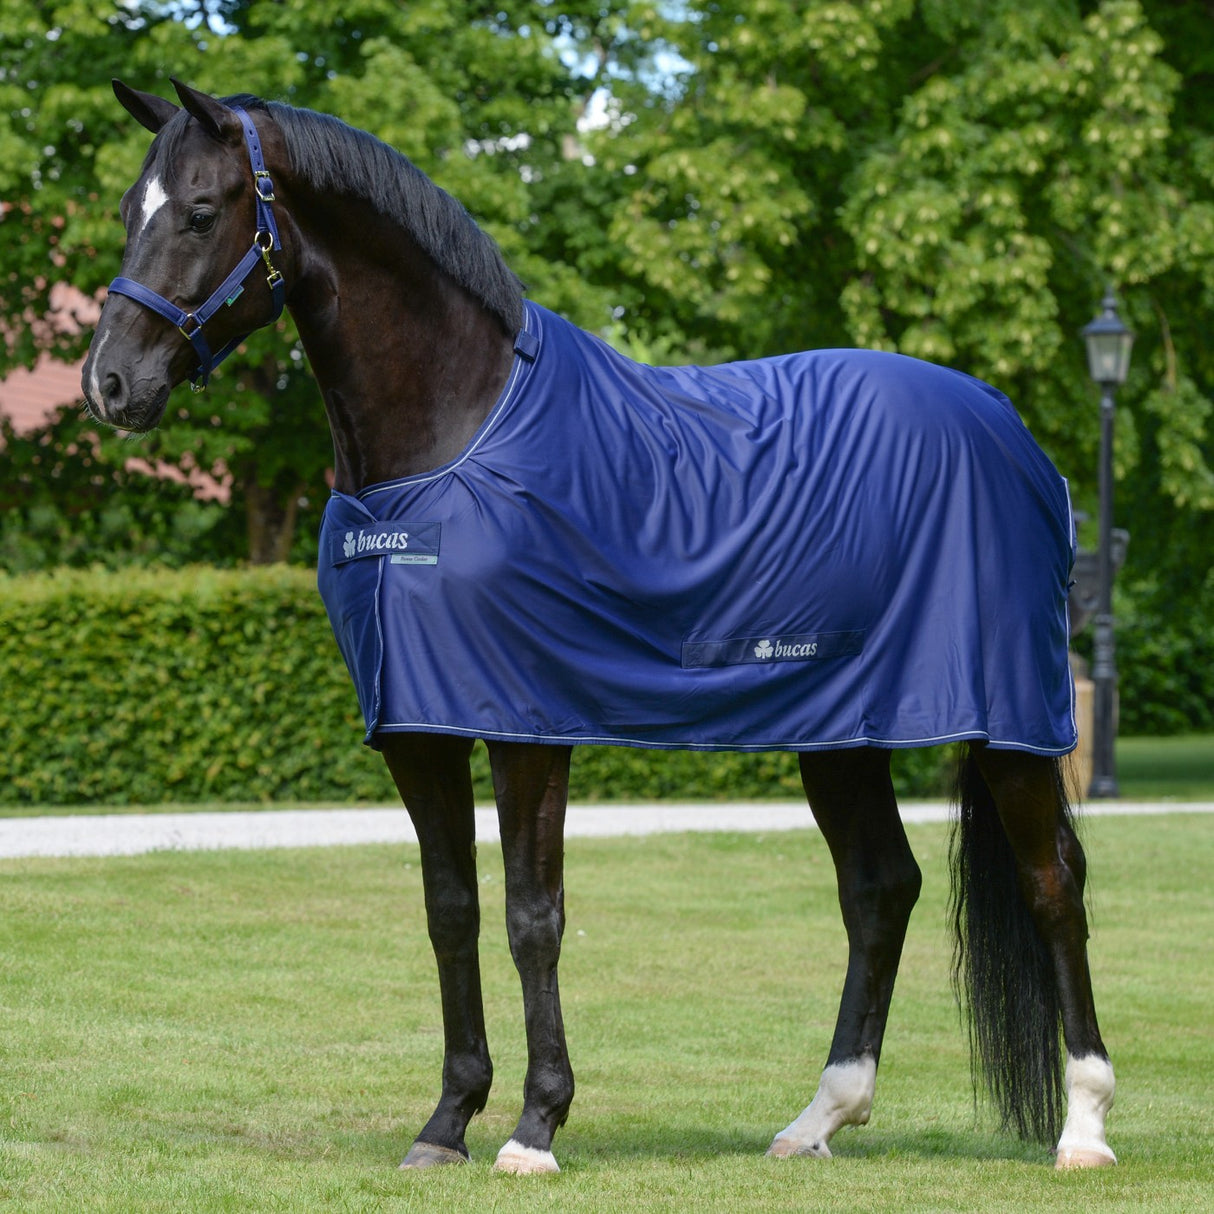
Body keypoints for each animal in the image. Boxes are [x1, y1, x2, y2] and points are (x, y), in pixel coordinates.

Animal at [82, 79, 1116, 1175]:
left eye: (201, 211)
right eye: (128, 210)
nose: (108, 384)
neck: (453, 434)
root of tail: (1009, 430)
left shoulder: (528, 725)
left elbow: (533, 916)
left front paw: (535, 1125)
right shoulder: (418, 727)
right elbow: (450, 912)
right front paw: (447, 1121)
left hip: (1007, 722)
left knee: (1052, 881)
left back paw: (1084, 1125)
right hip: (842, 731)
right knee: (880, 888)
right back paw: (819, 1117)